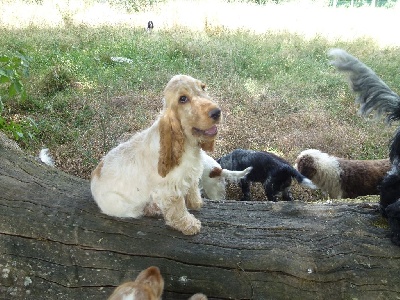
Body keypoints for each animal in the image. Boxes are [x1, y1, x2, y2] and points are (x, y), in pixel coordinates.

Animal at [91, 74, 222, 236]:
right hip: (123, 207)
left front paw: (195, 202)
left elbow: (192, 188)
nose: (217, 112)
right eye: (183, 99)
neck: (187, 144)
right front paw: (189, 225)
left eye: (203, 88)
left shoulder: (191, 174)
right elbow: (177, 209)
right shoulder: (170, 189)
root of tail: (94, 175)